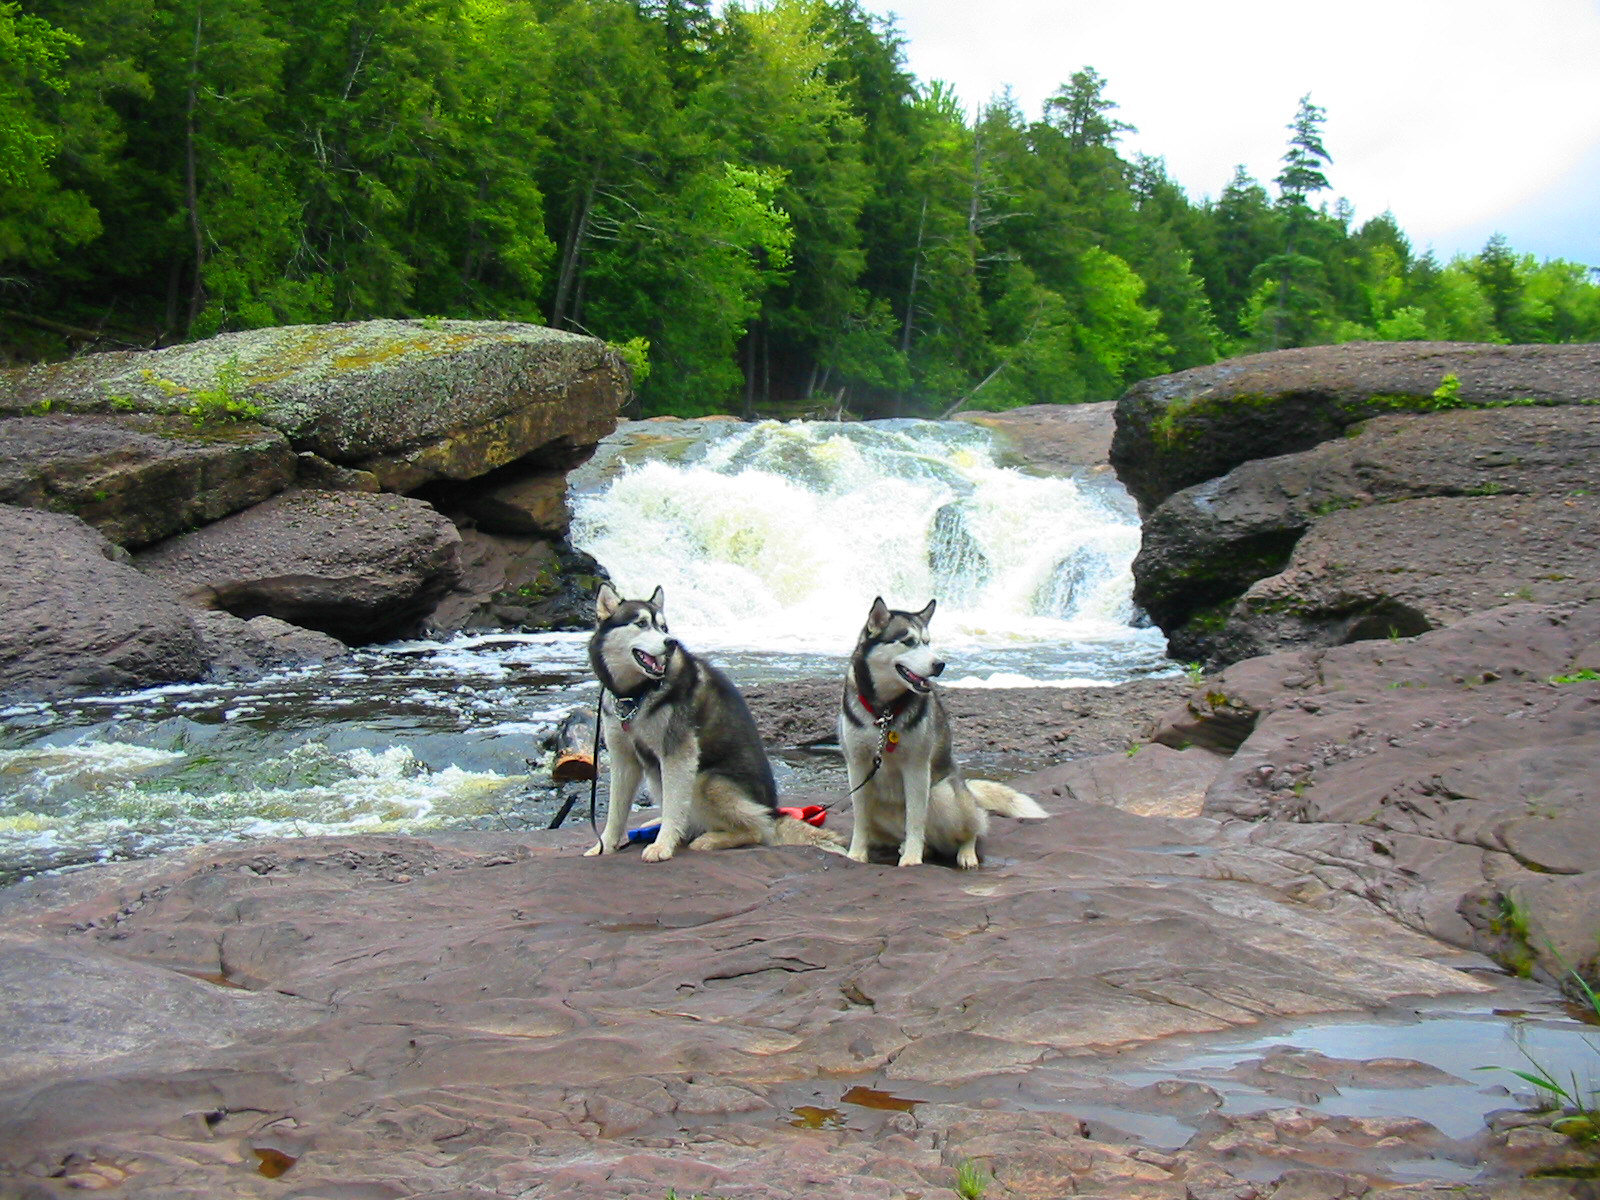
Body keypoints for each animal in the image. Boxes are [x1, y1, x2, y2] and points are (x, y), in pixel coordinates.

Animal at [588, 585, 838, 857]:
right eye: (641, 623)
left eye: (664, 627)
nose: (671, 642)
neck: (637, 693)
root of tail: (774, 811)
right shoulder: (623, 757)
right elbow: (616, 812)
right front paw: (604, 846)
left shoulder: (678, 755)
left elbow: (674, 806)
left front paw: (663, 845)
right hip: (660, 776)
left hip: (706, 781)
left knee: (755, 829)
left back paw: (709, 839)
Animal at [838, 598, 1049, 864]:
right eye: (908, 641)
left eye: (928, 642)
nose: (939, 664)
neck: (885, 710)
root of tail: (967, 788)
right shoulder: (857, 766)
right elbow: (860, 818)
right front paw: (856, 853)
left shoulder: (917, 767)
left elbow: (916, 818)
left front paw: (912, 859)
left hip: (943, 795)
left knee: (974, 828)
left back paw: (965, 853)